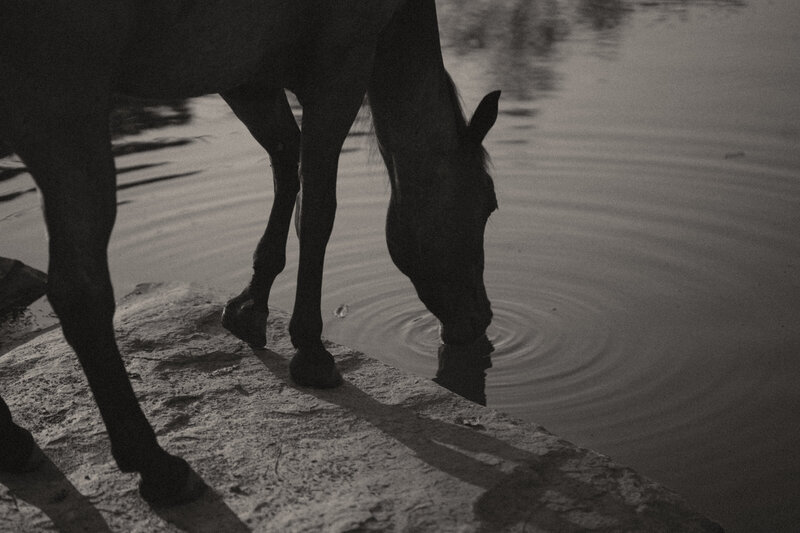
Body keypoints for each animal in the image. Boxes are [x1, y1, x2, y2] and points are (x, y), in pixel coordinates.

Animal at [1, 0, 500, 504]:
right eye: (489, 204)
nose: (481, 318)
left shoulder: (247, 79)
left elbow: (286, 167)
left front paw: (248, 307)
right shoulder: (341, 65)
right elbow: (316, 210)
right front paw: (312, 353)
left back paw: (15, 442)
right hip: (64, 116)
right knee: (80, 296)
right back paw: (157, 465)